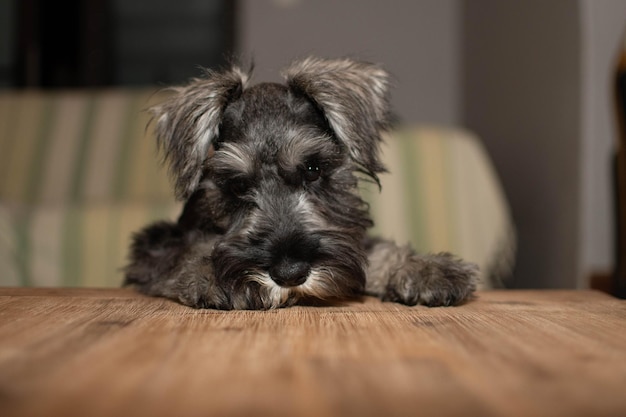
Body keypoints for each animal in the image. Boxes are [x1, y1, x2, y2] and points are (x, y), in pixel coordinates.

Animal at [125, 56, 478, 308]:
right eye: (238, 186)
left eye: (312, 169)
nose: (290, 273)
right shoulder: (156, 244)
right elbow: (186, 251)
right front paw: (211, 275)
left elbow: (376, 249)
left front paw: (423, 269)